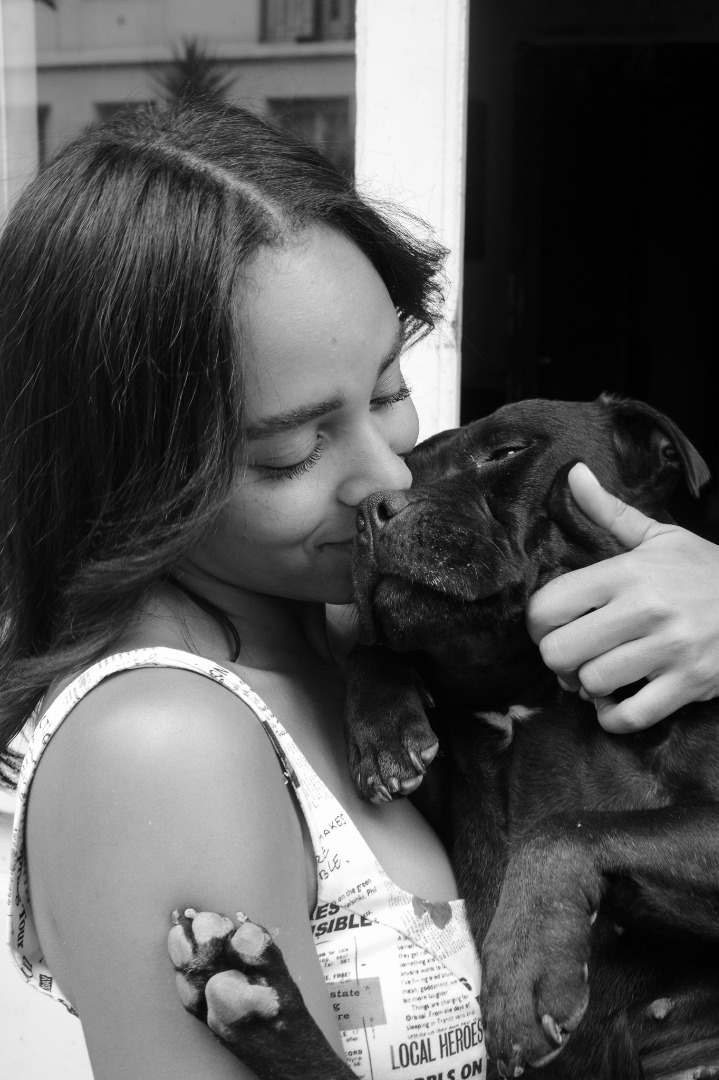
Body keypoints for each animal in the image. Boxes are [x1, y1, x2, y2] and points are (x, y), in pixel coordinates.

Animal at [168, 394, 719, 1080]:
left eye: (507, 451)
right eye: (403, 471)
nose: (371, 509)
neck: (523, 684)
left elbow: (564, 828)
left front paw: (522, 968)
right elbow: (375, 648)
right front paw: (384, 733)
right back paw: (248, 993)